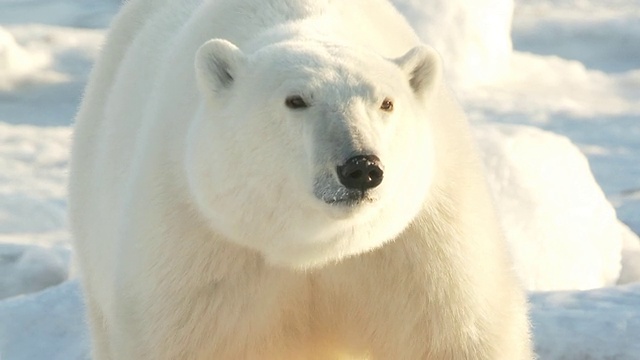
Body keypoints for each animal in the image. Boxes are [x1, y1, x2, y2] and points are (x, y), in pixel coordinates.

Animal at [67, 0, 532, 358]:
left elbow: (455, 335)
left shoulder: (420, 248)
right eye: (296, 100)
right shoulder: (200, 246)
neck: (314, 248)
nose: (360, 168)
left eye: (386, 102)